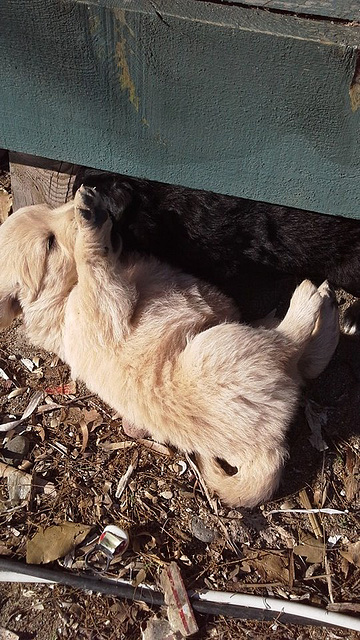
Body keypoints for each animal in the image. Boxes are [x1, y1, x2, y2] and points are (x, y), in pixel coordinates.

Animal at [0, 188, 338, 508]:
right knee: (291, 345)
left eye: (51, 209)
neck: (61, 295)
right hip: (224, 350)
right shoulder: (94, 312)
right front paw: (89, 222)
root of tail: (265, 451)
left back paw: (330, 308)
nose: (85, 202)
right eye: (49, 244)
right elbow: (94, 266)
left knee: (305, 361)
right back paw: (310, 299)